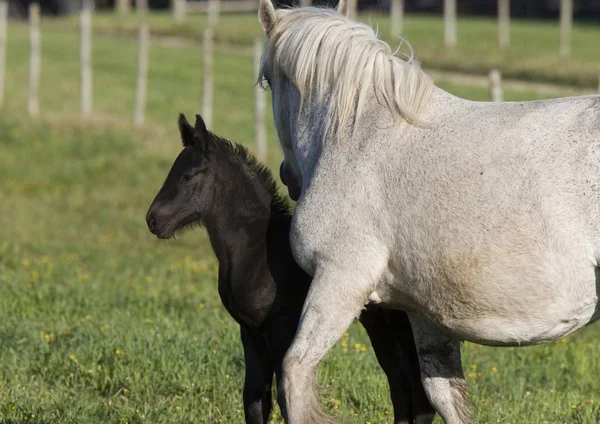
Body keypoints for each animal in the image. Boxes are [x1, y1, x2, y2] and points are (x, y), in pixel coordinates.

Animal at [145, 113, 436, 424]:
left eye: (188, 175)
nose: (153, 220)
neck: (258, 249)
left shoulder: (279, 331)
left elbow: (284, 401)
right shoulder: (250, 333)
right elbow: (254, 400)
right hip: (379, 325)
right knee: (400, 386)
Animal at [256, 1, 600, 422]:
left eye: (267, 81)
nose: (288, 177)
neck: (358, 133)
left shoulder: (339, 280)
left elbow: (295, 373)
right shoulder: (425, 314)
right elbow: (444, 395)